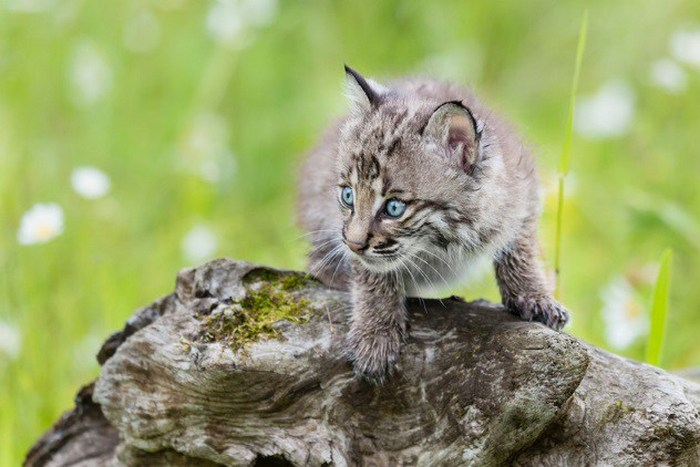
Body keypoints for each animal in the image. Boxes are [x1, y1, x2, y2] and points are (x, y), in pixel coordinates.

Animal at [296, 66, 568, 384]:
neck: (445, 240)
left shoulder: (523, 192)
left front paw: (535, 295)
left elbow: (521, 247)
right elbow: (373, 275)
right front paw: (375, 333)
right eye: (347, 195)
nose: (352, 244)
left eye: (394, 208)